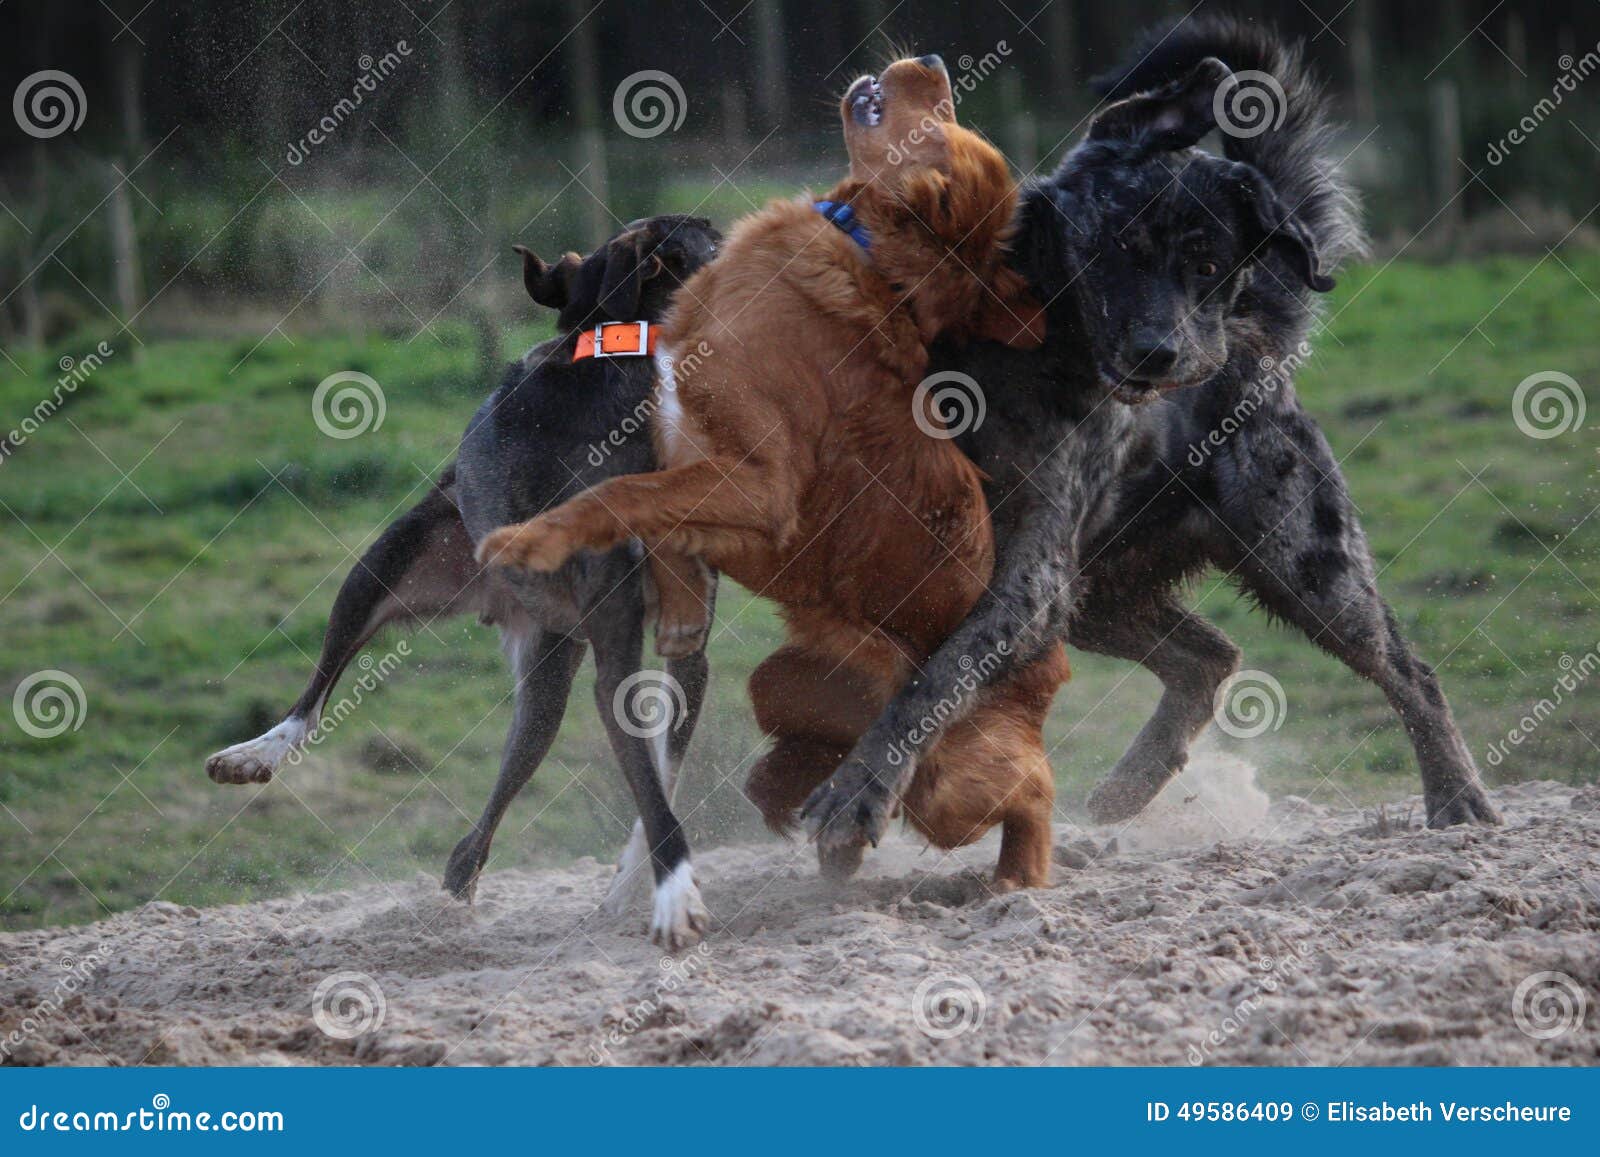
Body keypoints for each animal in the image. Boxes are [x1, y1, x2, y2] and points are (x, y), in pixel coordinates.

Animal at [208, 214, 726, 947]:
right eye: (712, 236)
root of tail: (499, 601)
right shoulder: (619, 649)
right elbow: (652, 789)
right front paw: (673, 893)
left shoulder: (685, 648)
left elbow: (661, 773)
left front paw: (635, 883)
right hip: (378, 570)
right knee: (316, 691)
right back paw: (256, 752)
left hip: (550, 666)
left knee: (497, 797)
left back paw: (457, 889)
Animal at [480, 52, 1068, 889]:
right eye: (947, 113)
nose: (932, 61)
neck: (867, 253)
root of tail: (1043, 662)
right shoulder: (693, 453)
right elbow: (657, 512)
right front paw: (681, 607)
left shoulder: (759, 485)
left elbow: (618, 494)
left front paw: (528, 540)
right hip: (788, 680)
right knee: (809, 755)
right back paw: (816, 815)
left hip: (958, 782)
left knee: (1034, 787)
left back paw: (1016, 873)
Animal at [800, 20, 1497, 870]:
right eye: (1124, 245)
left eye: (1209, 267)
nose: (1163, 356)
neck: (1021, 348)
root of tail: (1256, 338)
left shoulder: (1027, 581)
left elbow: (936, 680)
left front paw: (857, 796)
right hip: (1099, 592)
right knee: (1210, 654)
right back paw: (1132, 781)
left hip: (1305, 567)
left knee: (1408, 672)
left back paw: (1457, 796)